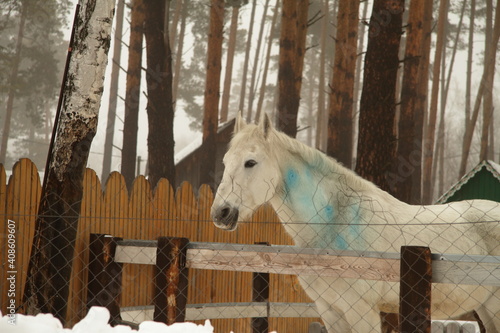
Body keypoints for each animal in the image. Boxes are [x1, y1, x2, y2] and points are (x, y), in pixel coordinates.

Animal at [211, 113, 500, 330]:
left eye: (251, 162)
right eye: (224, 161)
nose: (220, 213)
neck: (335, 225)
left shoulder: (362, 311)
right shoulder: (331, 310)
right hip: (485, 308)